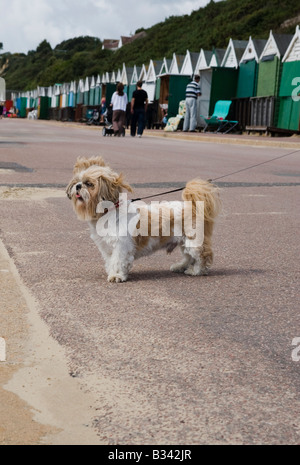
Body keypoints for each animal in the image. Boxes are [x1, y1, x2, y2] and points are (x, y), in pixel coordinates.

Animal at [66, 156, 220, 280]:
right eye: (77, 181)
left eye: (89, 184)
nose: (78, 186)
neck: (108, 213)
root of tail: (192, 206)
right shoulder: (107, 247)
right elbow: (111, 261)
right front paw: (113, 272)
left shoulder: (121, 246)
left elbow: (118, 261)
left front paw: (116, 276)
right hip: (184, 242)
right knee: (188, 257)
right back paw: (180, 266)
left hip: (193, 241)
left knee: (202, 256)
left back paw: (196, 271)